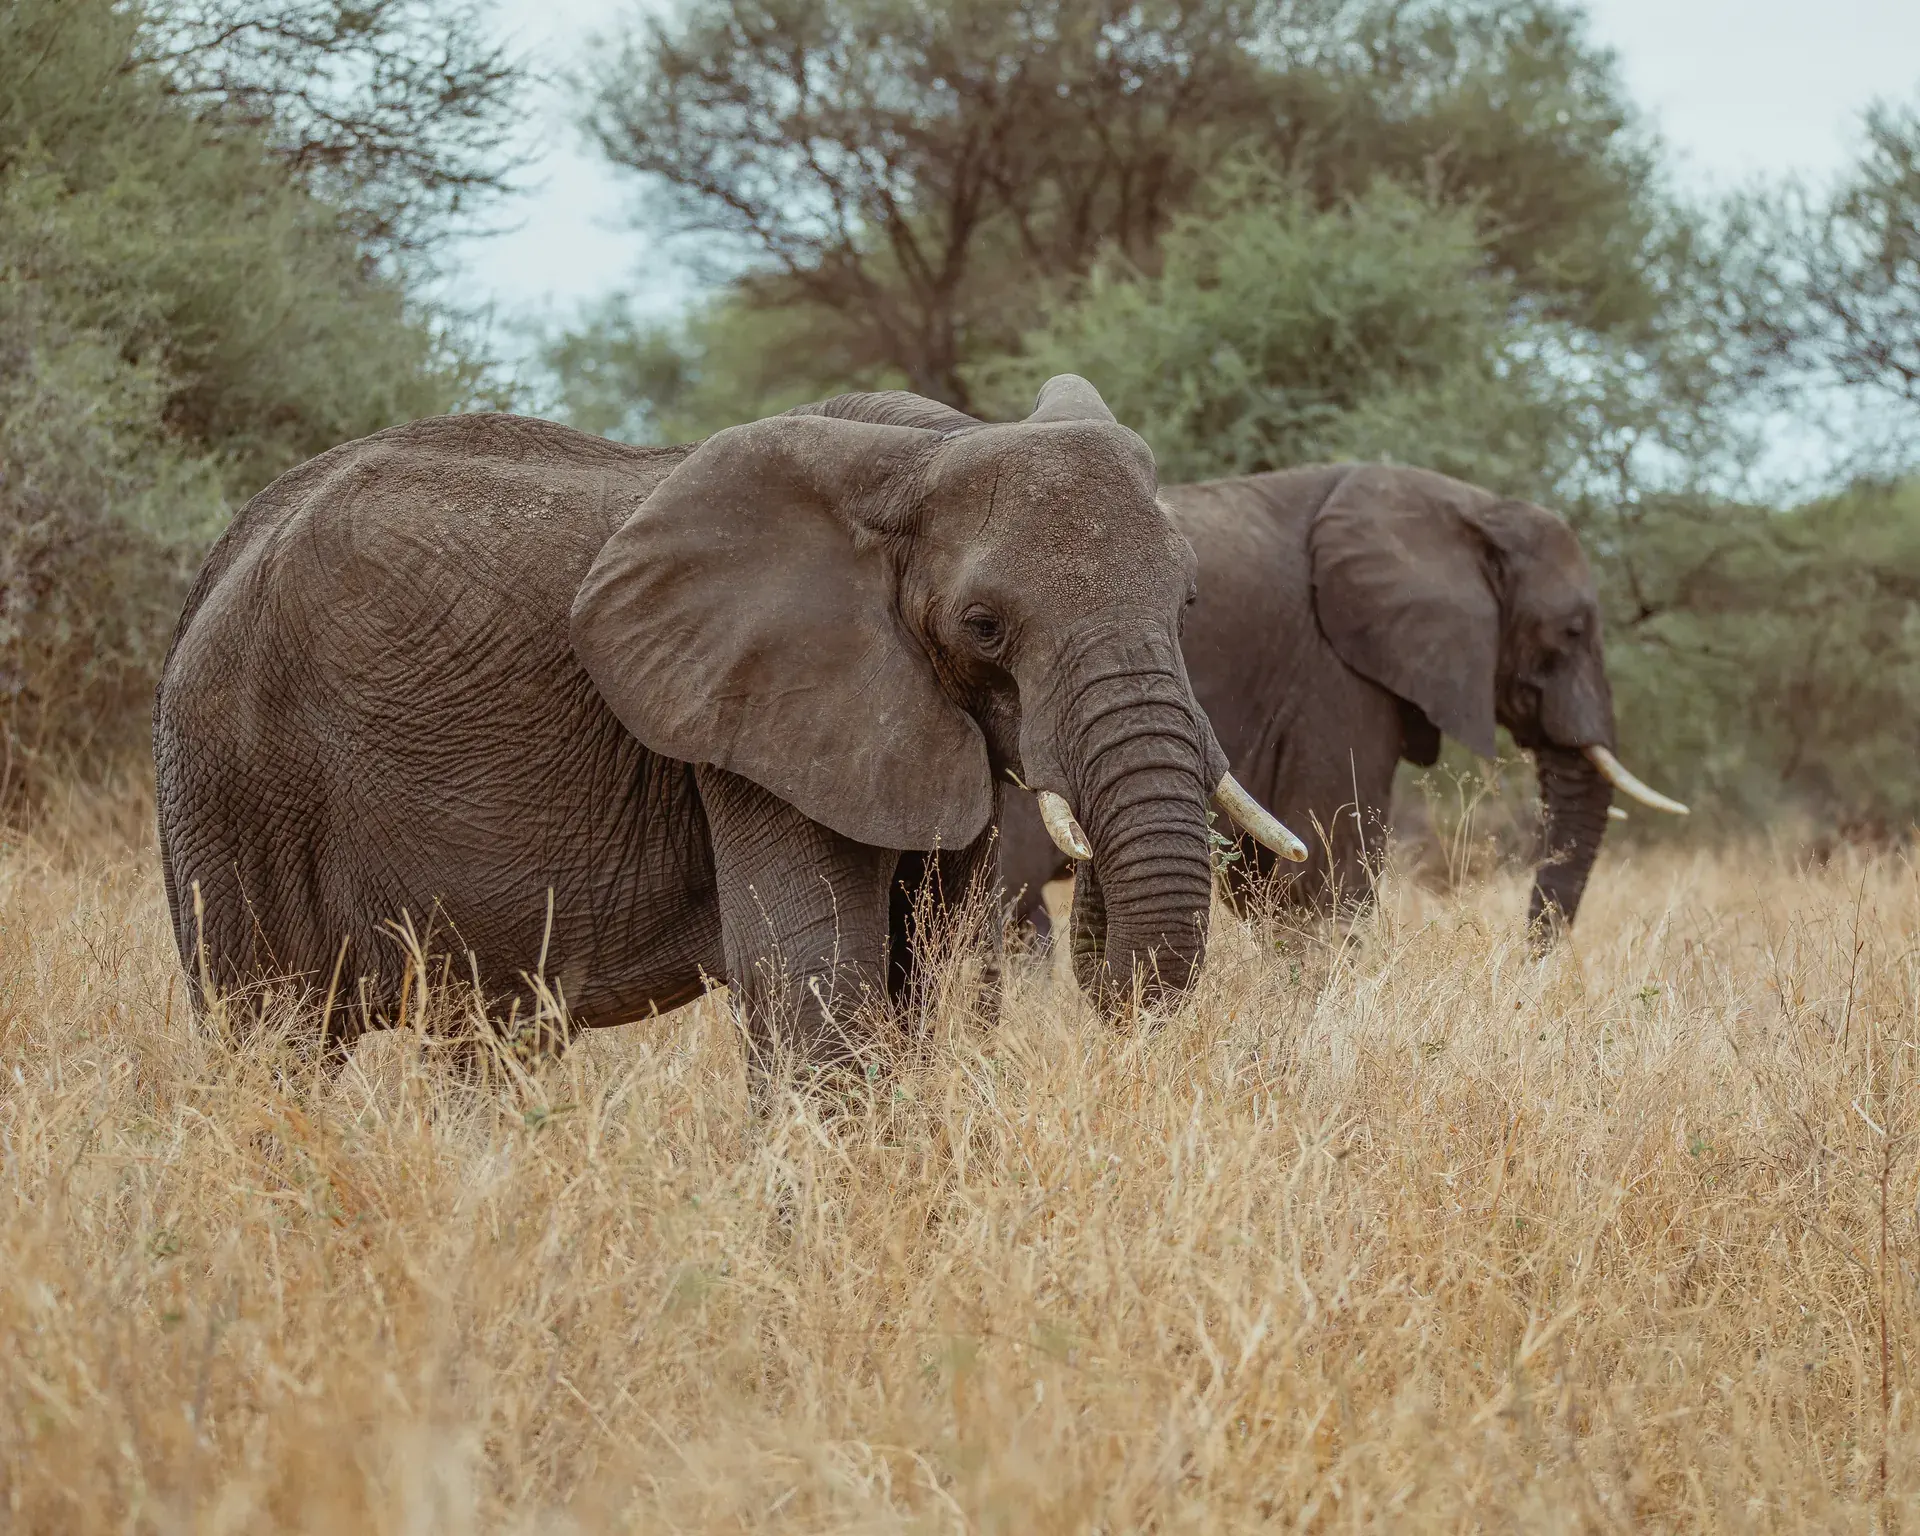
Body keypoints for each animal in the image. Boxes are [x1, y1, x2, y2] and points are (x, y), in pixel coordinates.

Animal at [152, 378, 1306, 1079]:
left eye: (1188, 601)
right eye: (984, 626)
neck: (920, 454)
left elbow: (923, 977)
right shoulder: (752, 722)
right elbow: (812, 980)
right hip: (234, 778)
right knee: (273, 1036)